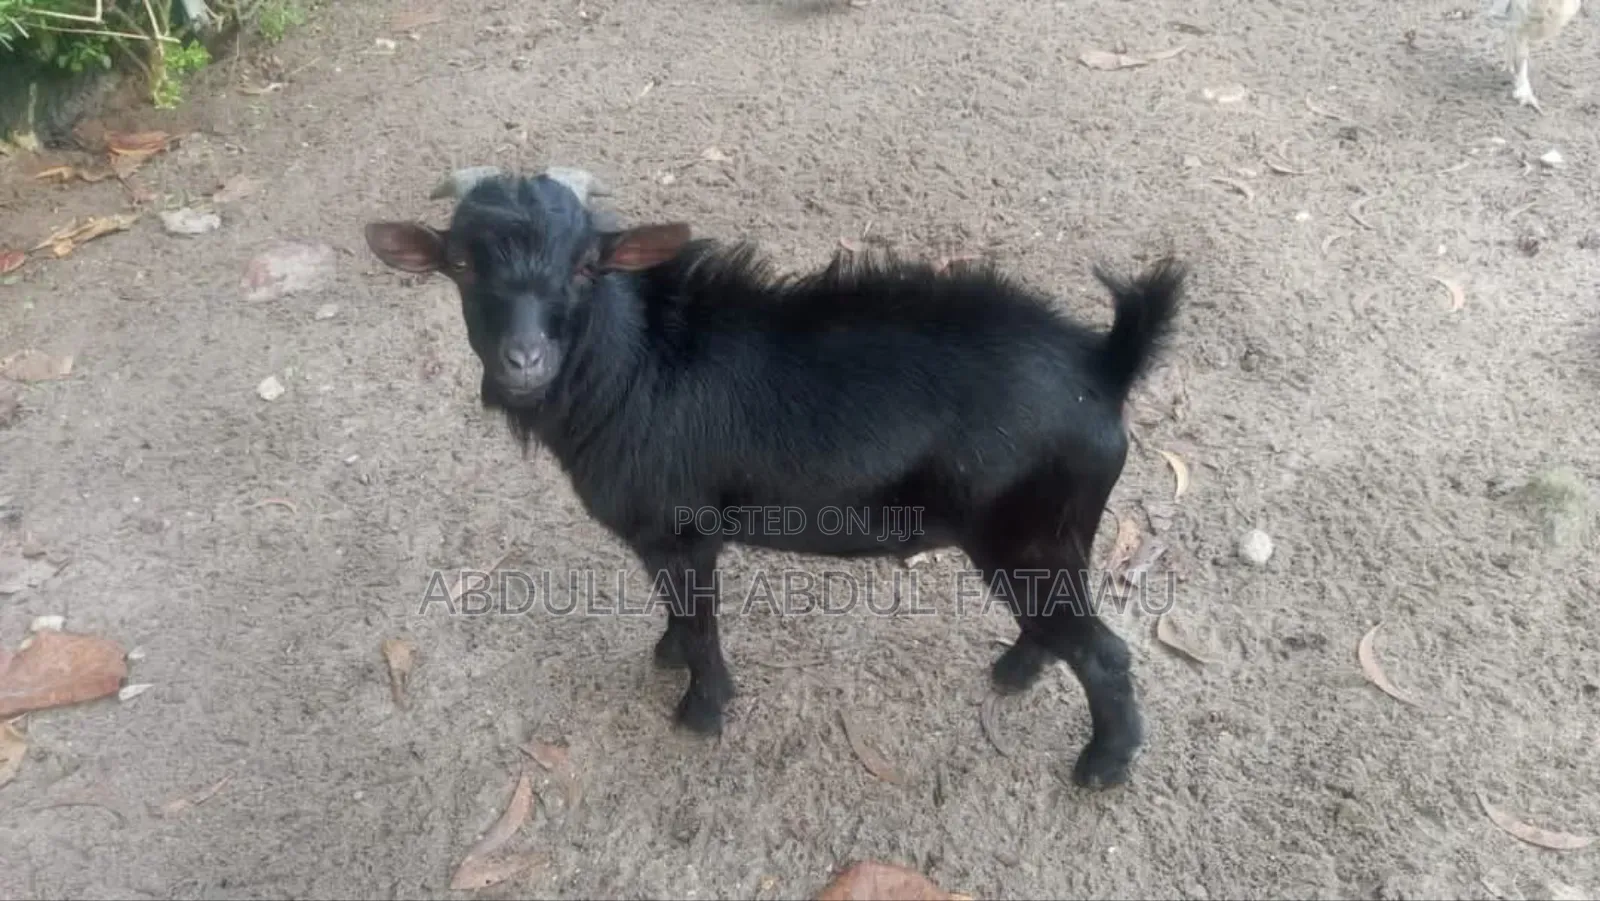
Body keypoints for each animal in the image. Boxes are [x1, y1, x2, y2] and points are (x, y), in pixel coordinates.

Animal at [363, 168, 1187, 789]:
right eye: (462, 264)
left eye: (584, 266)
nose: (524, 361)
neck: (635, 367)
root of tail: (1103, 367)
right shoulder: (664, 542)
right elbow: (678, 614)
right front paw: (666, 654)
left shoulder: (682, 533)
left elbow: (700, 623)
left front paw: (701, 710)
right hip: (1051, 539)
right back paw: (1015, 670)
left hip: (1027, 536)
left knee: (1105, 652)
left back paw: (1102, 765)